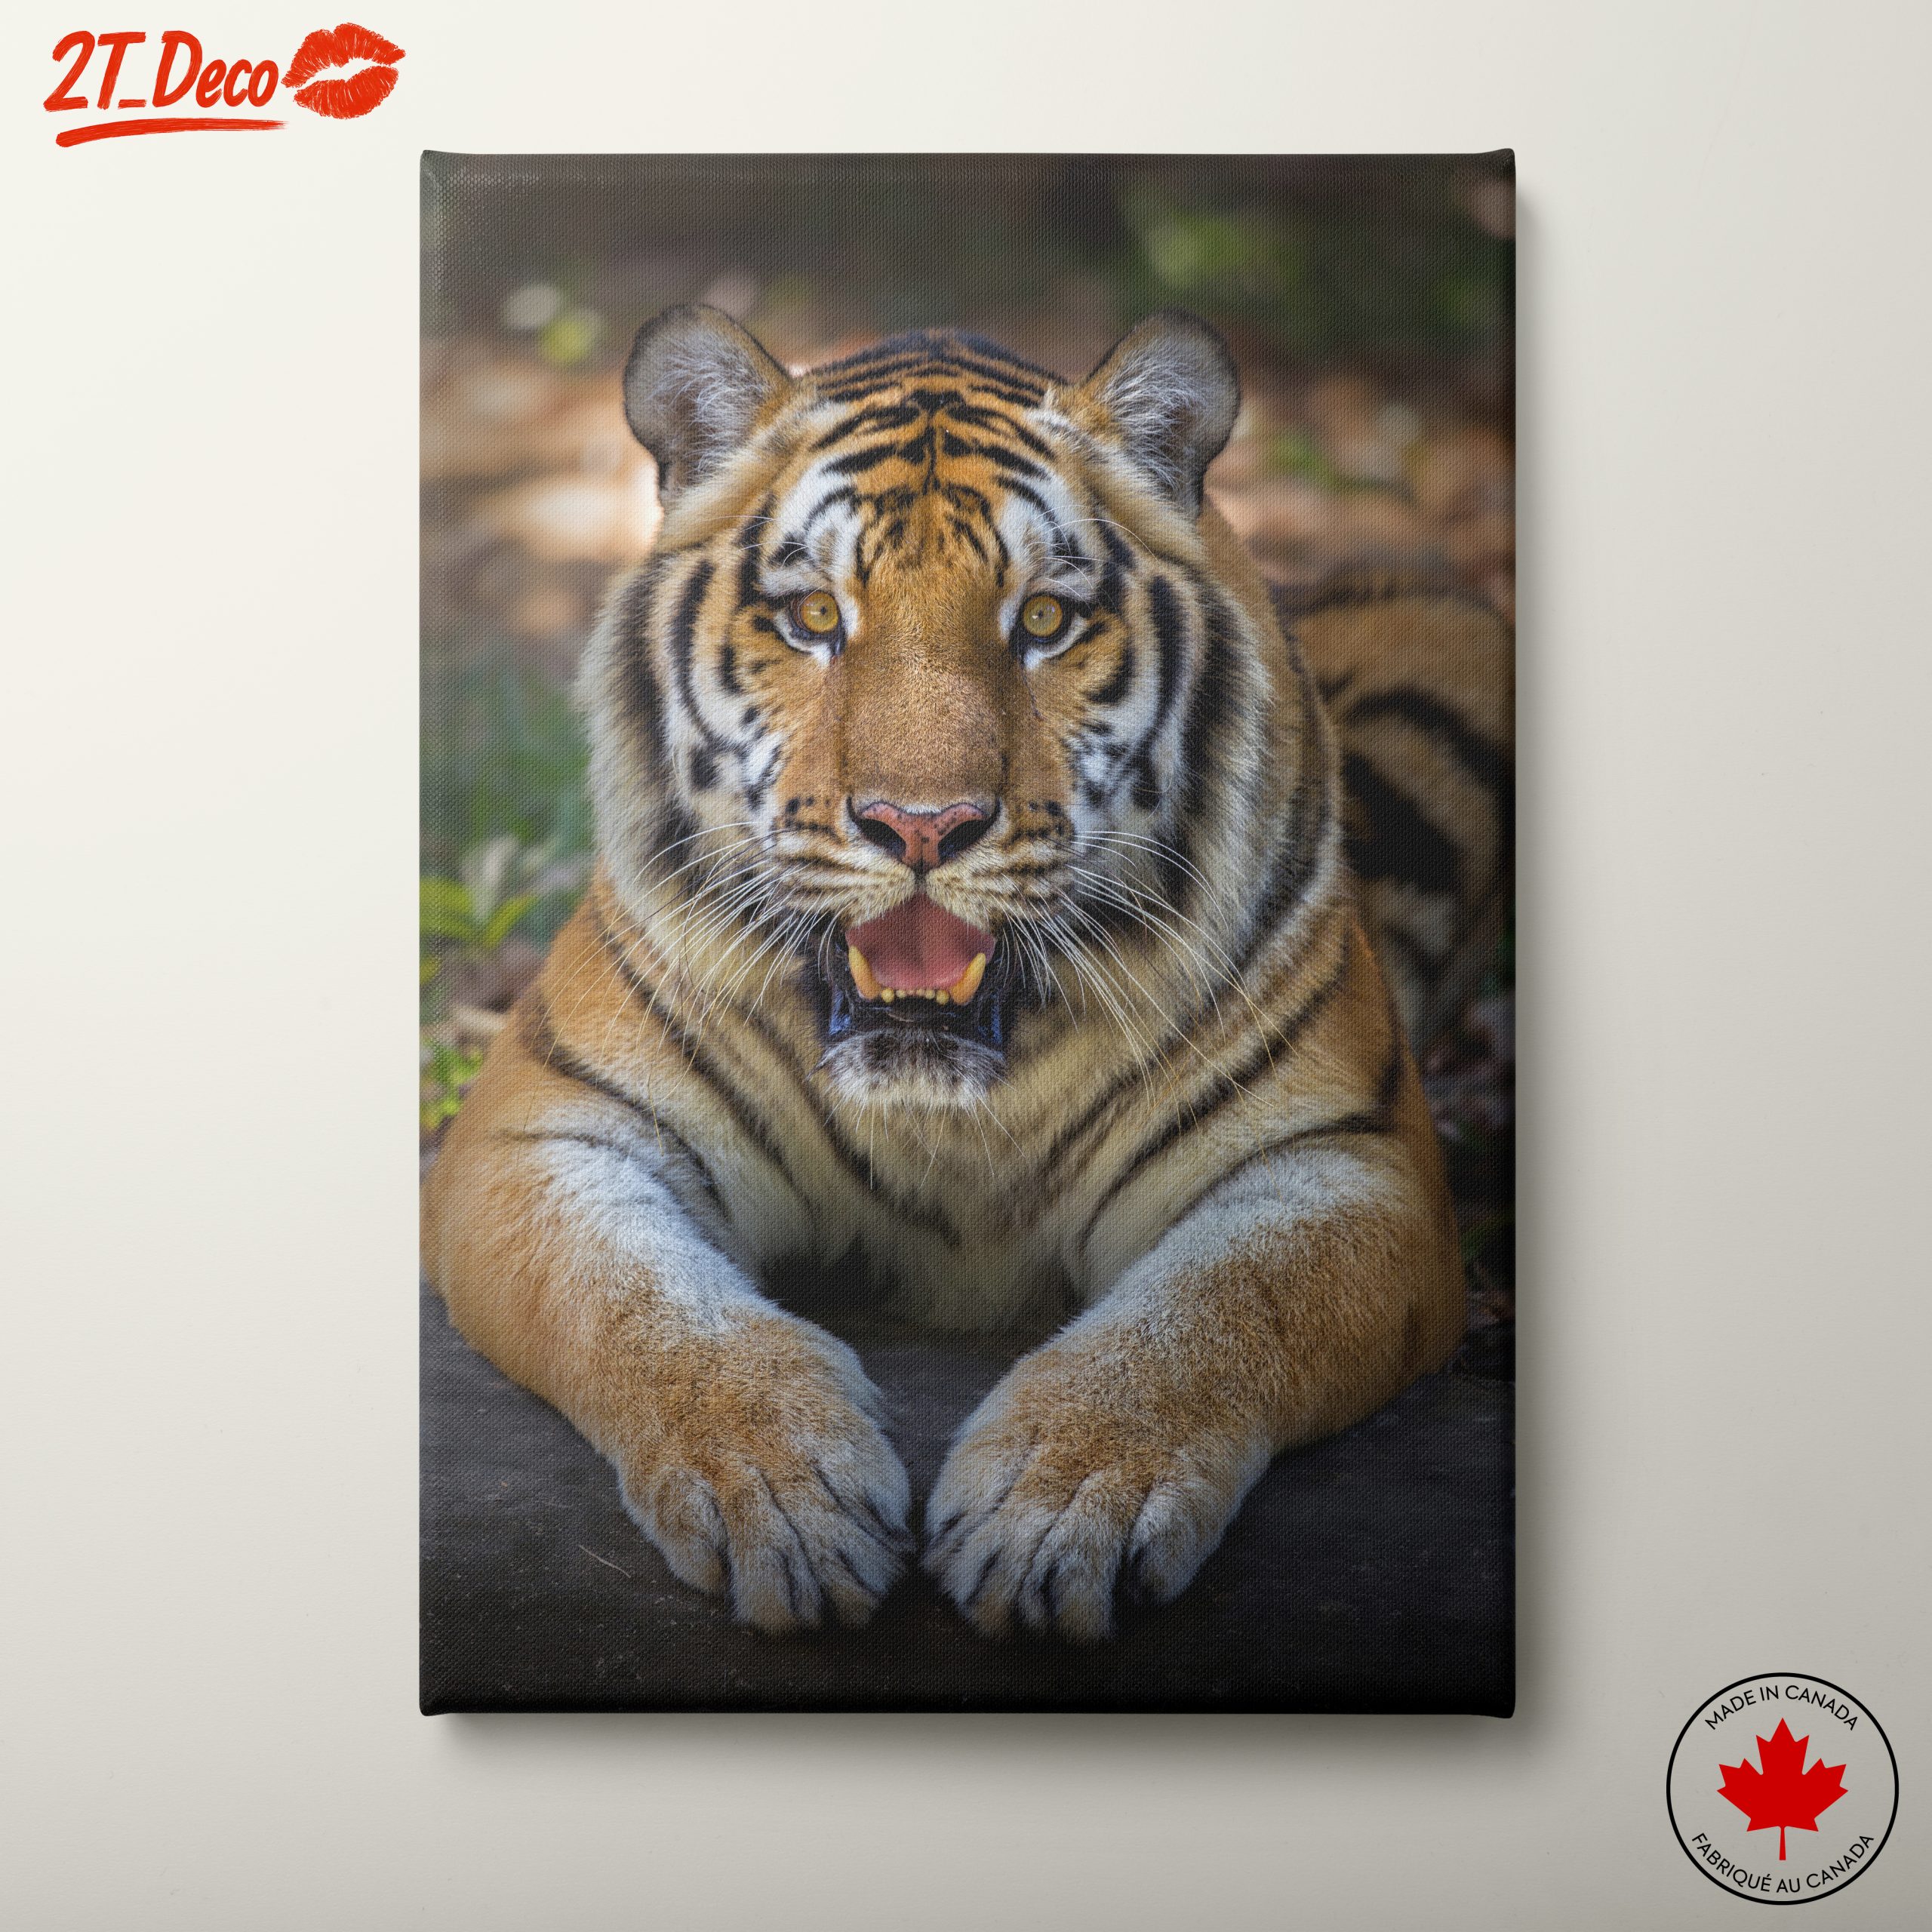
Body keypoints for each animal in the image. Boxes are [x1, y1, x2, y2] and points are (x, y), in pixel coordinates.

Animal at [421, 305, 1513, 1641]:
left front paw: (1057, 1510)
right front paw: (785, 1495)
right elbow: (644, 1309)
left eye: (1043, 622)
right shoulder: (545, 1134)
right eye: (814, 618)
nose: (922, 826)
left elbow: (1213, 1316)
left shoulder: (1348, 1166)